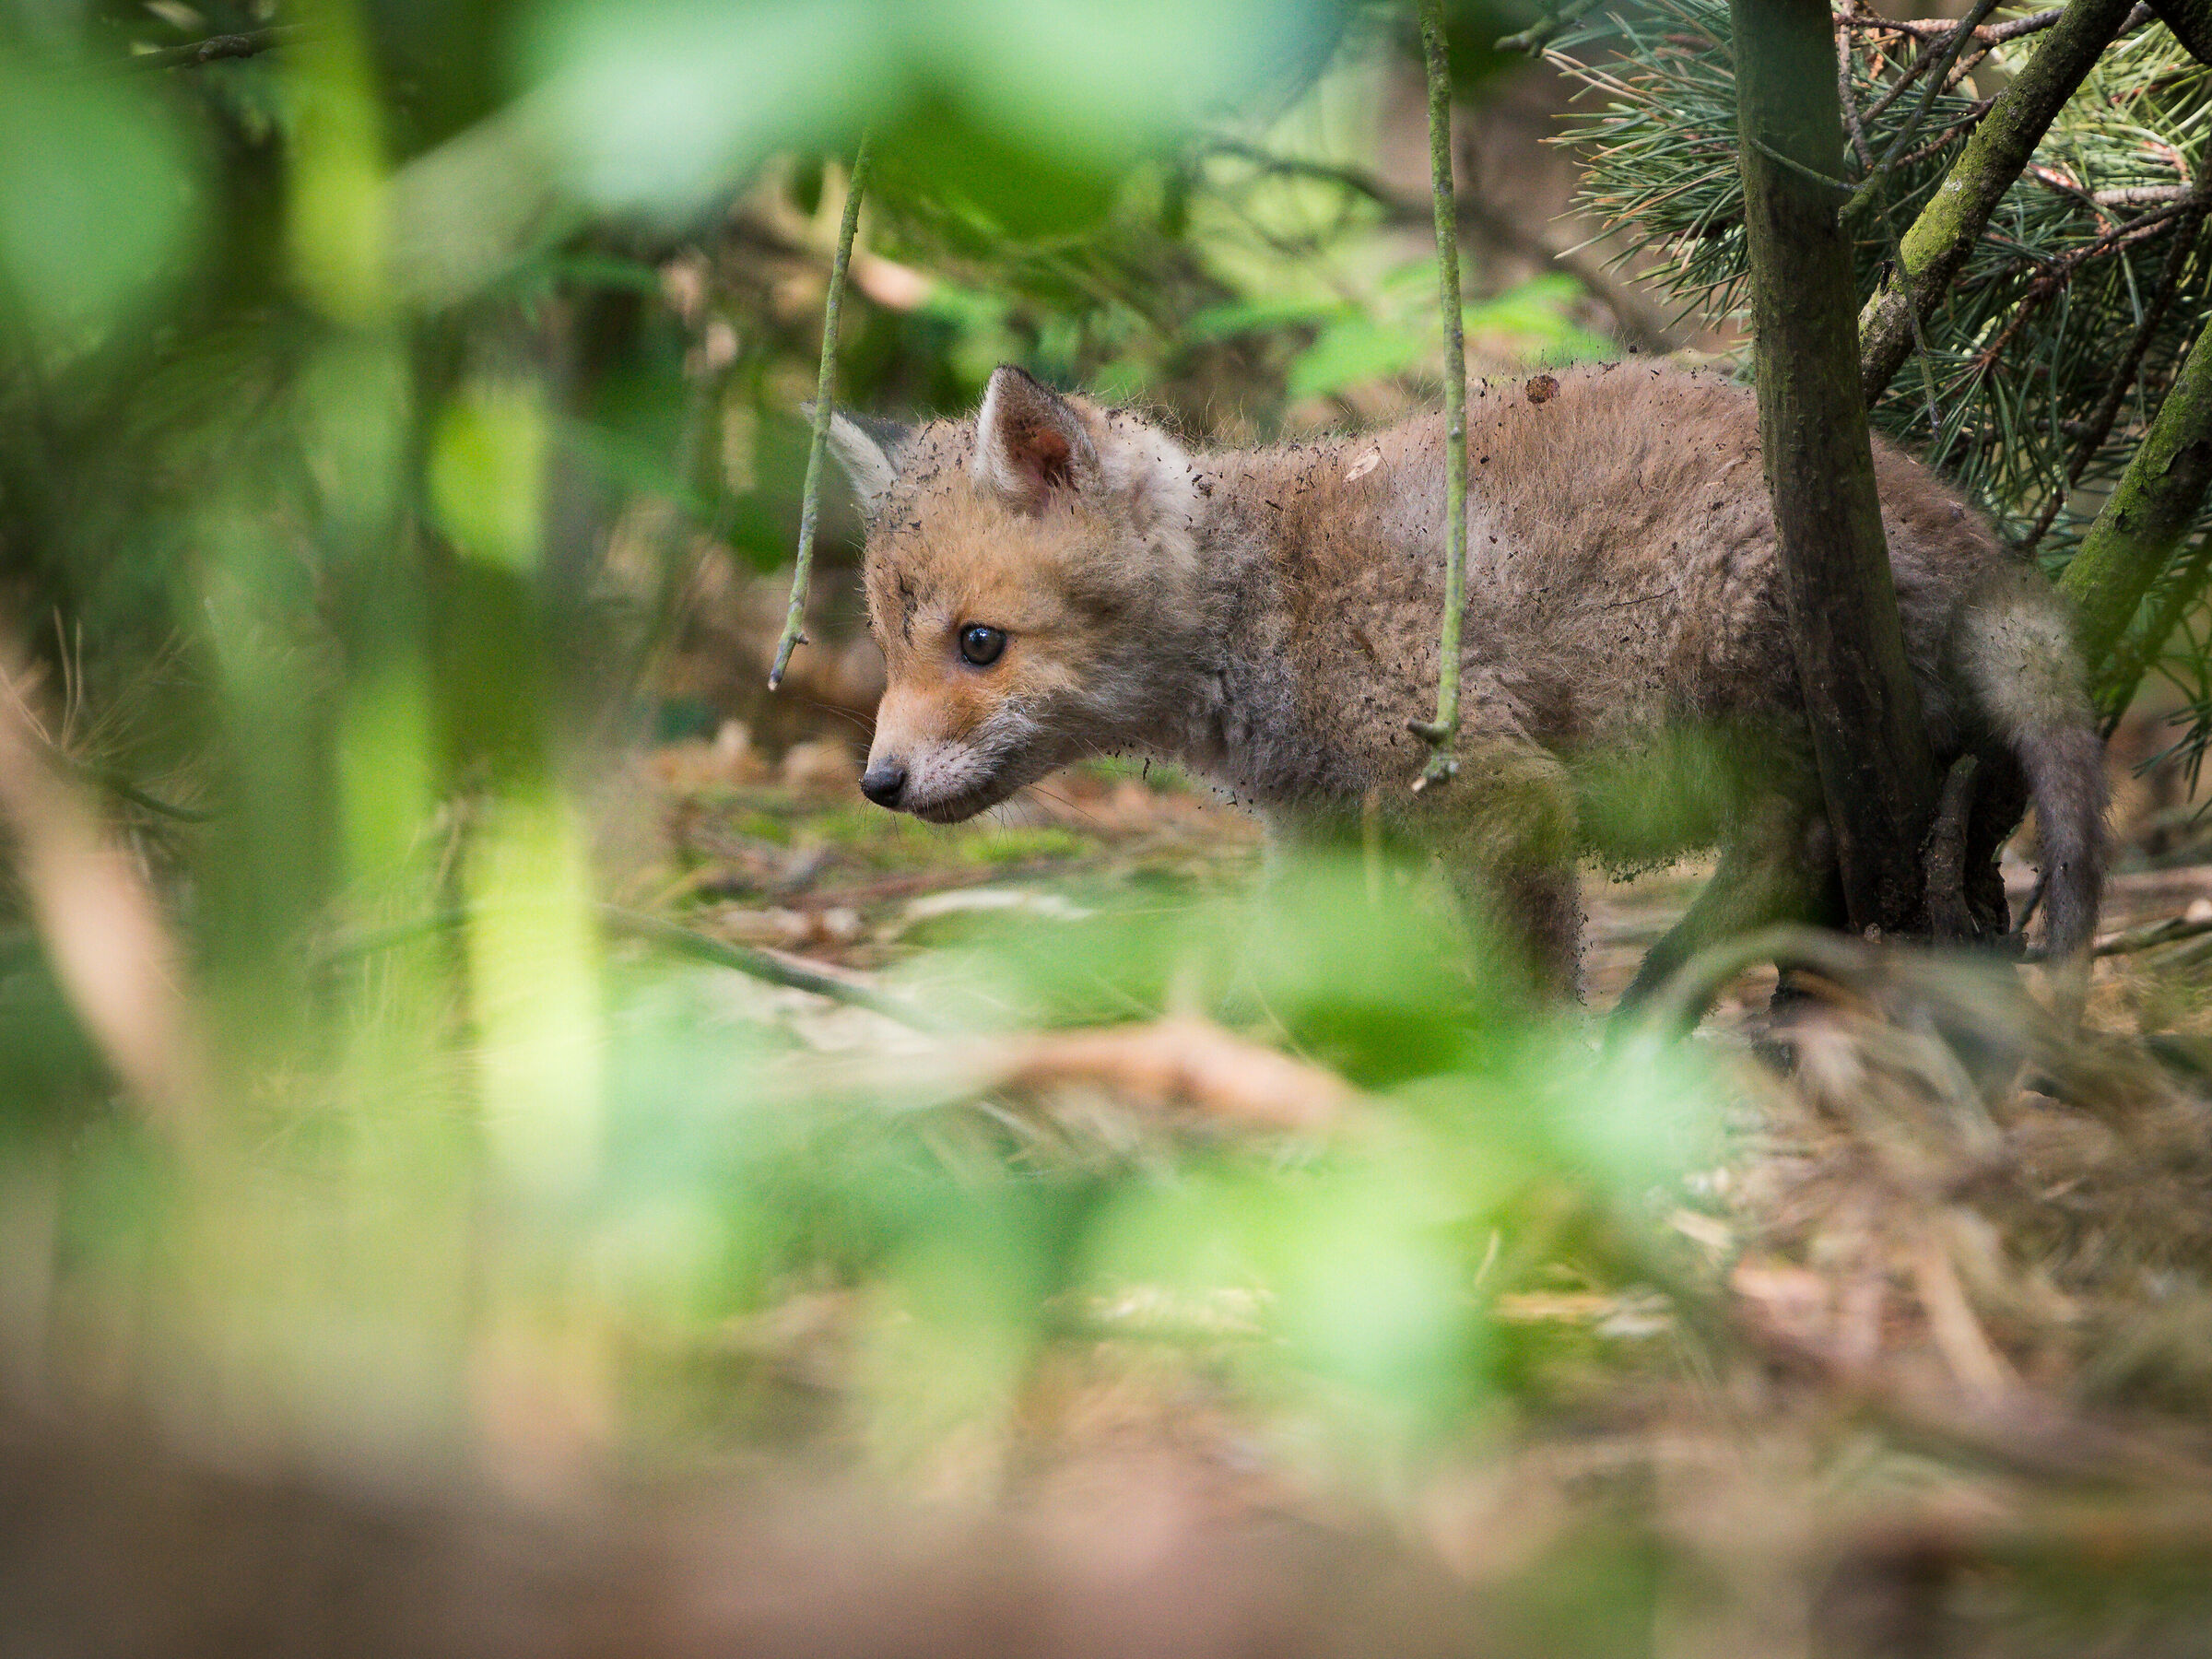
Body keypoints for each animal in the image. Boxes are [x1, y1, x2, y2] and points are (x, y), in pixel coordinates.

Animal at [822, 362, 2105, 1008]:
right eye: (891, 648)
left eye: (979, 644)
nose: (878, 784)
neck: (1268, 606)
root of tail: (1970, 537)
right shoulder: (1321, 836)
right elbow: (1272, 986)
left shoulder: (1497, 795)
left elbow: (1521, 1004)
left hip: (1720, 687)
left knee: (1798, 845)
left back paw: (1668, 990)